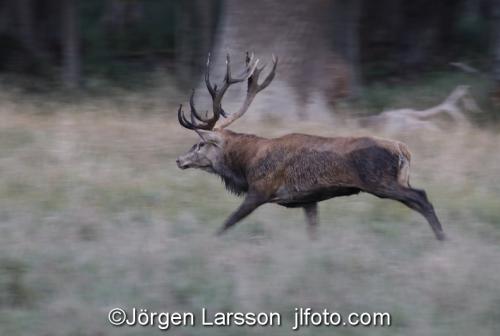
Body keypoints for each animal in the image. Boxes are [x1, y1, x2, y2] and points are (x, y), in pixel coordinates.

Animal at [176, 52, 446, 240]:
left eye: (200, 143)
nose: (179, 160)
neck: (246, 165)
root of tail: (404, 149)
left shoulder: (261, 189)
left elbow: (228, 222)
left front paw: (210, 241)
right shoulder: (308, 199)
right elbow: (313, 232)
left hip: (381, 182)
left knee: (422, 197)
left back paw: (442, 238)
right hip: (397, 180)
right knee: (417, 200)